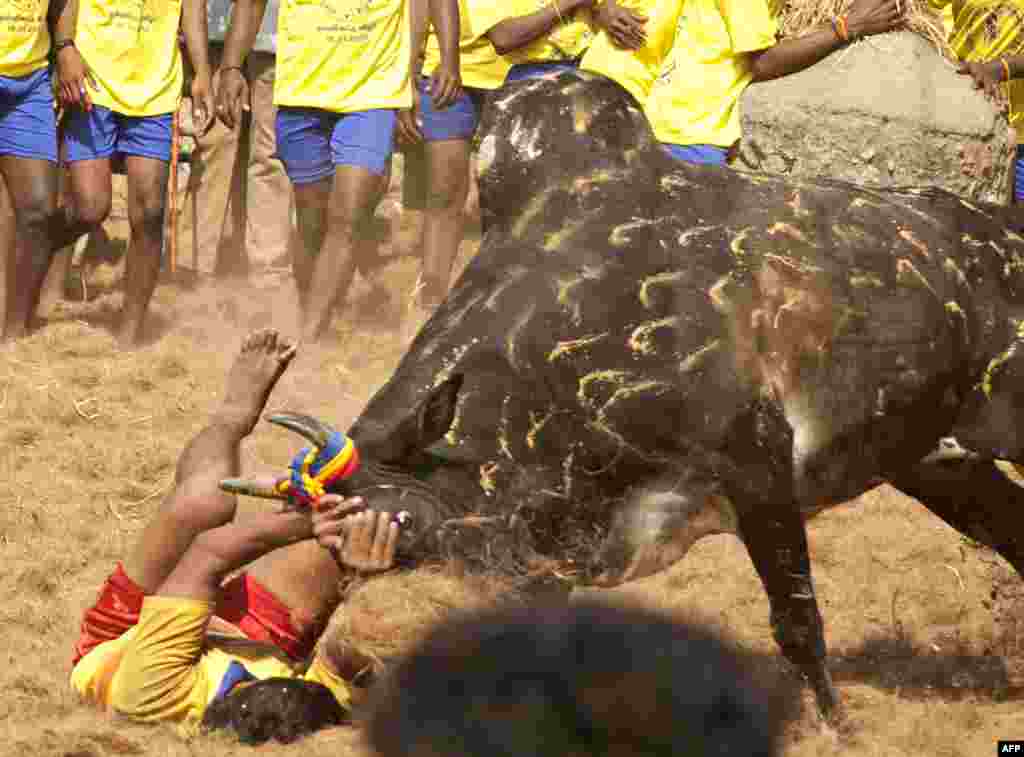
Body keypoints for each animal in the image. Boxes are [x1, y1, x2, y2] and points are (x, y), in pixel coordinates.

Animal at [239, 72, 1024, 721]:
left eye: (403, 526)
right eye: (333, 549)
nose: (350, 654)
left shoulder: (758, 469)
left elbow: (798, 624)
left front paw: (837, 725)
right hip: (936, 461)